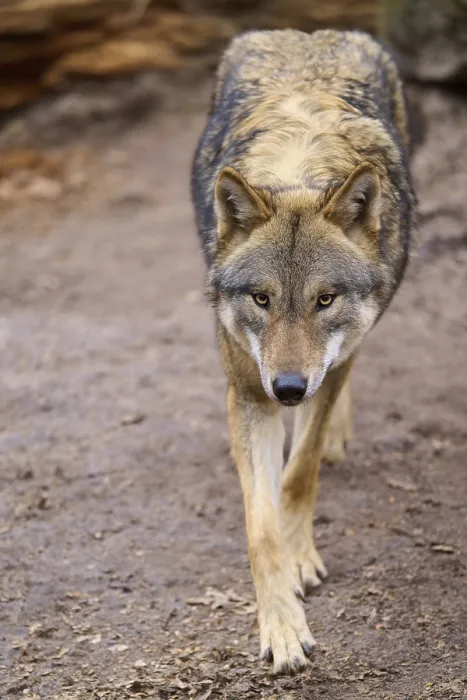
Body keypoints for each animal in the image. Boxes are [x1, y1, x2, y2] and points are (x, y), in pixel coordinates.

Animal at [191, 28, 415, 675]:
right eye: (262, 299)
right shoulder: (247, 391)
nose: (288, 388)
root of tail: (308, 33)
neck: (299, 168)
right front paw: (283, 626)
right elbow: (261, 526)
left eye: (325, 299)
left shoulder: (325, 368)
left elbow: (299, 472)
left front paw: (300, 558)